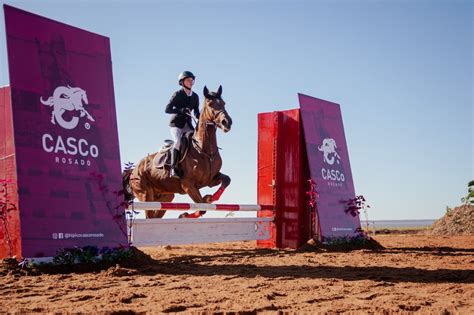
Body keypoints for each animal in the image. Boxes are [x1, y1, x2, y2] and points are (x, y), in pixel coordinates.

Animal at [123, 86, 232, 220]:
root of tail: (134, 169)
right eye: (210, 104)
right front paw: (184, 215)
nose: (227, 122)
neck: (204, 151)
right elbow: (202, 209)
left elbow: (226, 180)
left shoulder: (210, 180)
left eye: (223, 103)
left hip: (166, 196)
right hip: (146, 195)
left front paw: (210, 198)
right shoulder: (188, 185)